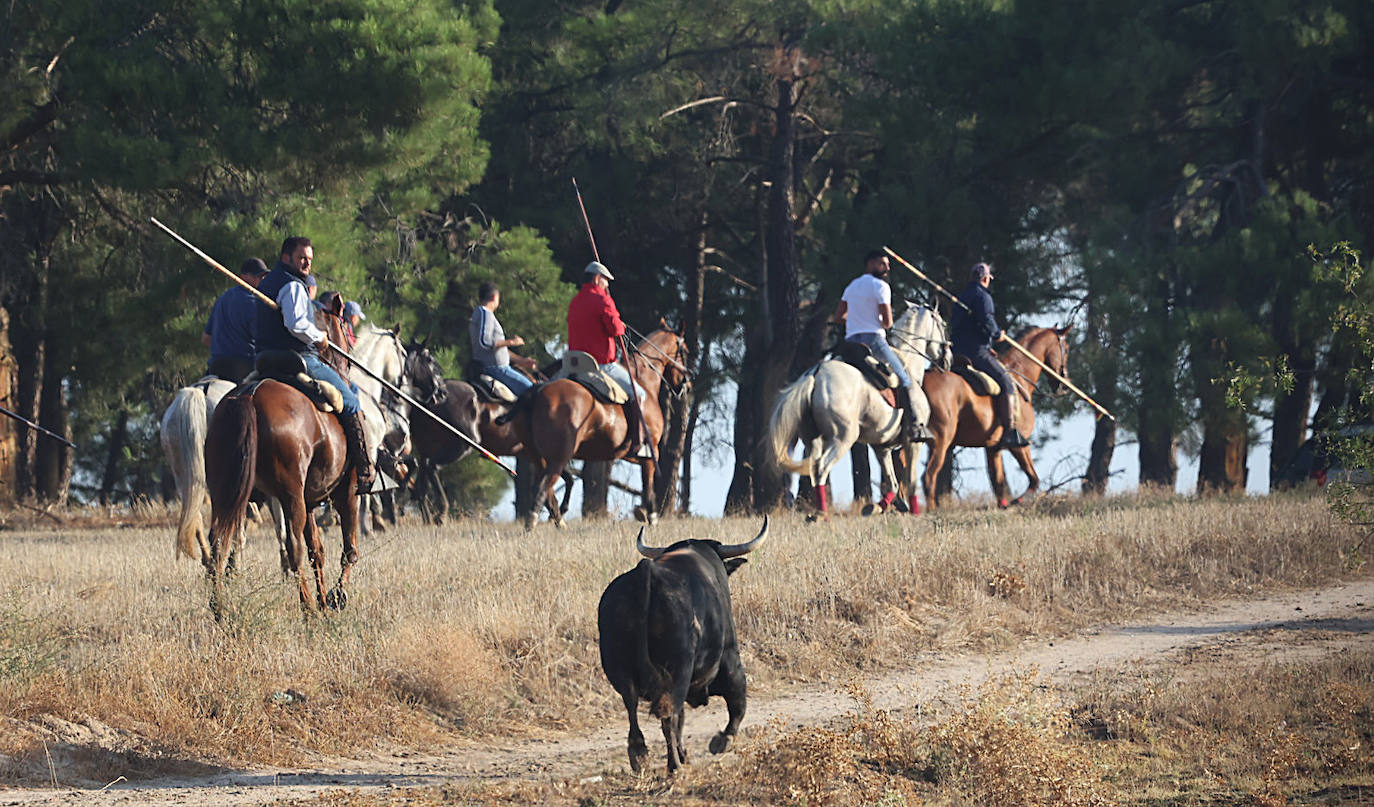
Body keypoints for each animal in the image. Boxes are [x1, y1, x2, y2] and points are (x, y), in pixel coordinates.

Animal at [203, 306, 362, 615]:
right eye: (344, 326)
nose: (352, 347)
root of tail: (249, 396)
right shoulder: (346, 492)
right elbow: (348, 548)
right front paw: (337, 596)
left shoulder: (311, 500)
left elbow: (317, 551)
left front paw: (326, 600)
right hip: (290, 495)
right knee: (293, 547)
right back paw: (308, 608)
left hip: (225, 493)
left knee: (218, 545)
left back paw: (220, 610)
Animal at [513, 328, 692, 530]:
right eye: (685, 351)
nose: (687, 383)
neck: (644, 380)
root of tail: (538, 391)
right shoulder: (650, 452)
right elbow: (648, 486)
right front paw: (651, 517)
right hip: (558, 458)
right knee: (544, 487)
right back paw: (536, 522)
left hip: (540, 457)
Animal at [599, 516, 774, 775]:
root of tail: (646, 573)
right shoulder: (731, 659)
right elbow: (738, 704)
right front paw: (722, 740)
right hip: (679, 670)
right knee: (669, 715)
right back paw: (674, 764)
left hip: (620, 671)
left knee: (633, 709)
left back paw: (640, 757)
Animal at [769, 302, 950, 516]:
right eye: (943, 325)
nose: (948, 359)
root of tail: (816, 374)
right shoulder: (913, 443)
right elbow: (911, 482)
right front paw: (913, 510)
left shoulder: (881, 447)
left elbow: (892, 482)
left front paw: (879, 507)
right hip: (843, 437)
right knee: (821, 468)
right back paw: (822, 515)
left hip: (813, 440)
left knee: (812, 470)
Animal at [923, 323, 1071, 508]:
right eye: (1066, 349)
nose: (1064, 385)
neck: (1020, 378)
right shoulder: (1019, 445)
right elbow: (1033, 479)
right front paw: (1015, 502)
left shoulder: (993, 448)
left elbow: (998, 481)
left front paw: (1004, 505)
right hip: (940, 441)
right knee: (928, 476)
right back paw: (930, 509)